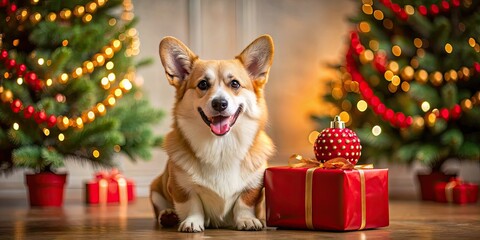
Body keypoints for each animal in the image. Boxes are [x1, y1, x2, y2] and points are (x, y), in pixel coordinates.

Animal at [152, 34, 276, 232]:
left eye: (235, 83)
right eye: (203, 84)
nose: (219, 103)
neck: (221, 146)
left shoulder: (253, 185)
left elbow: (244, 202)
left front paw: (247, 220)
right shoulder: (180, 186)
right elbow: (192, 204)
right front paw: (192, 222)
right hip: (156, 188)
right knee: (160, 207)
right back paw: (168, 215)